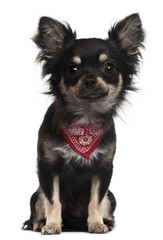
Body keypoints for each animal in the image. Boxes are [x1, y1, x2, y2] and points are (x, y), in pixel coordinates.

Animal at [22, 13, 145, 234]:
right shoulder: (48, 166)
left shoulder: (103, 168)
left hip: (112, 196)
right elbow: (52, 200)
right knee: (40, 202)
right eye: (72, 70)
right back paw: (38, 222)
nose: (89, 80)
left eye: (109, 68)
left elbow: (96, 200)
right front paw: (52, 225)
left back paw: (107, 222)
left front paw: (96, 224)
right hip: (35, 194)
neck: (84, 119)